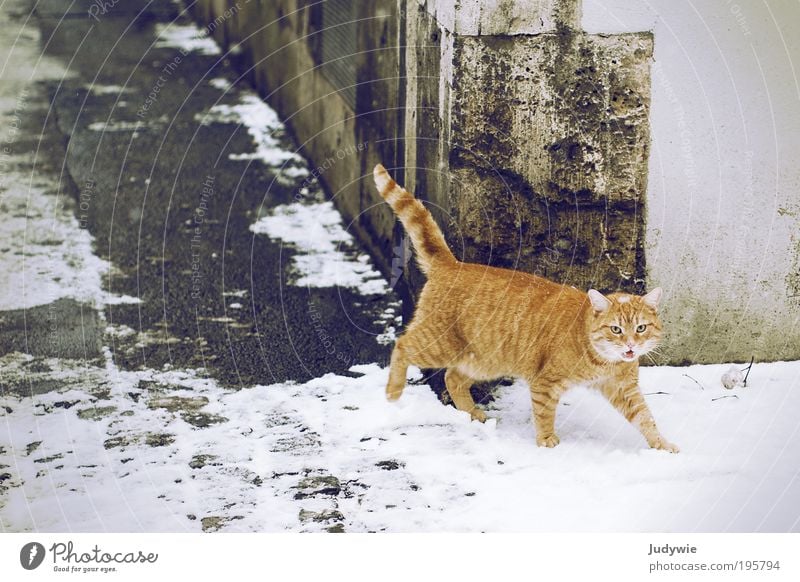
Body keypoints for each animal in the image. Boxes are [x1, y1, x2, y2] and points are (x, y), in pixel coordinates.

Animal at [372, 167, 680, 454]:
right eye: (616, 329)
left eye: (640, 328)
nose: (630, 346)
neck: (604, 361)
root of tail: (453, 264)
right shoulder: (546, 383)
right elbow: (544, 414)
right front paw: (546, 442)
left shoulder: (624, 389)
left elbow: (646, 419)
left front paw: (662, 445)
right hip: (439, 344)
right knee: (402, 345)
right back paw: (393, 392)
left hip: (483, 359)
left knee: (452, 377)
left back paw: (472, 414)